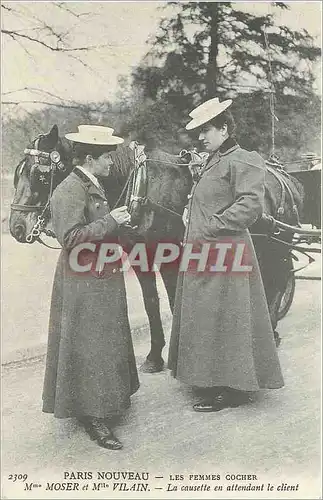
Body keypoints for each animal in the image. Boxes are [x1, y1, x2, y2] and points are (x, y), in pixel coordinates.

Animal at [8, 124, 306, 368]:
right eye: (17, 173)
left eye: (39, 174)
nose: (16, 227)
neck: (142, 187)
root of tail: (285, 178)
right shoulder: (140, 255)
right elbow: (151, 301)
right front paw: (154, 355)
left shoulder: (171, 255)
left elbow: (174, 299)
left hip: (278, 244)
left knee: (279, 278)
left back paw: (272, 328)